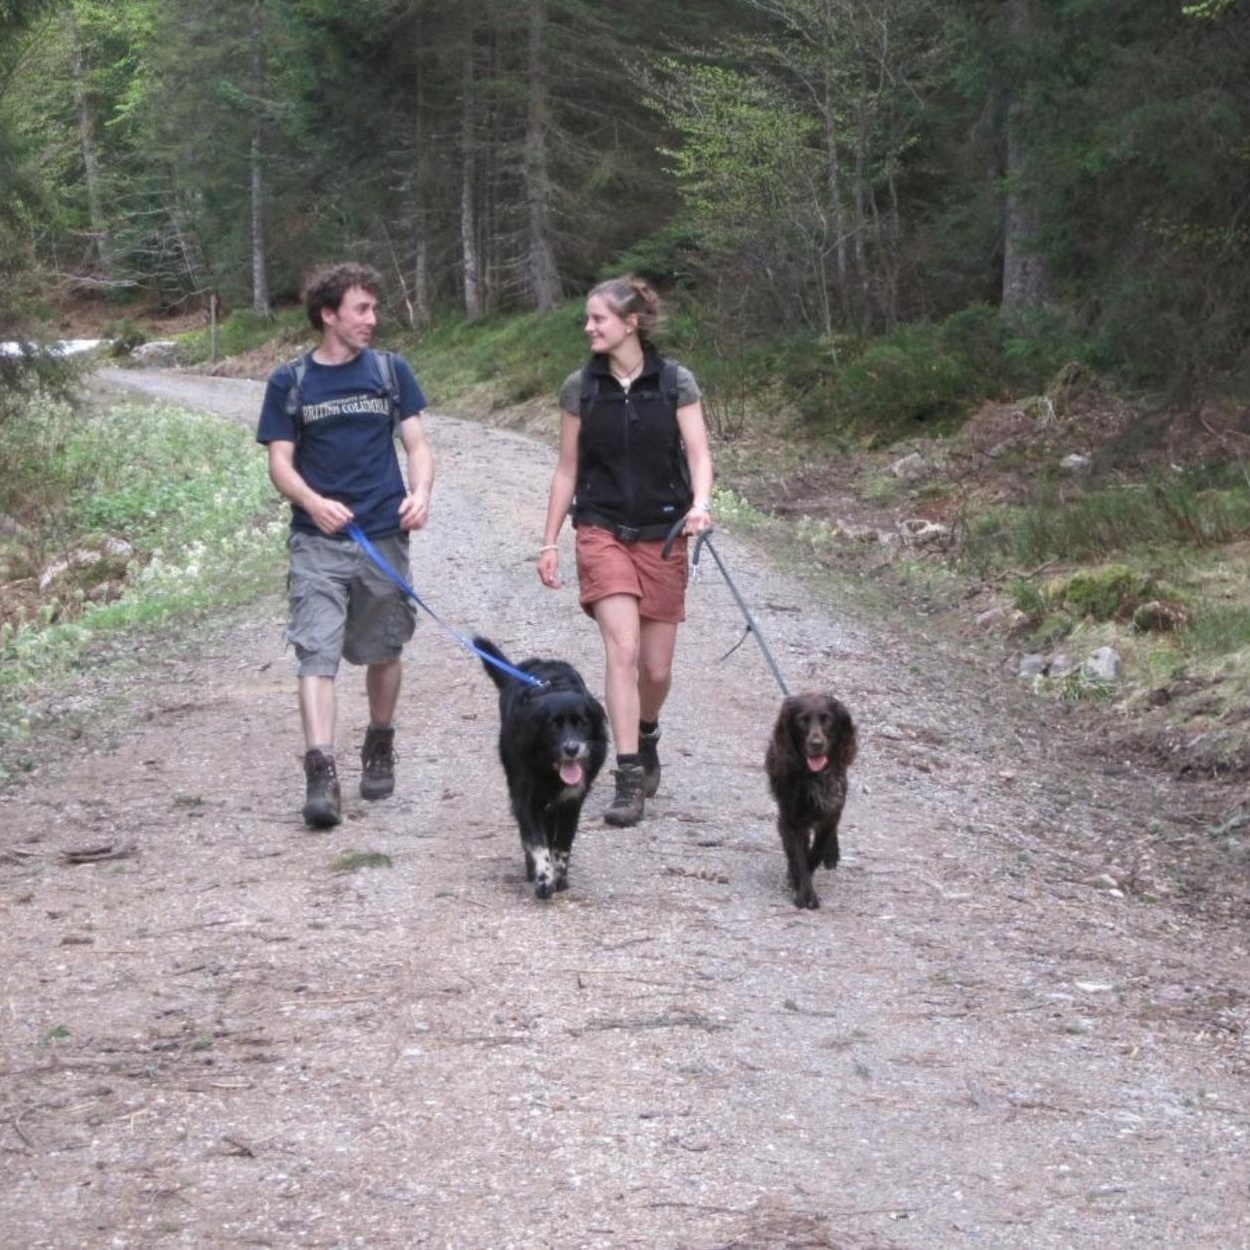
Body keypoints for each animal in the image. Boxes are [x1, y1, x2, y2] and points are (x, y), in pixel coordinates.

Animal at [470, 635, 607, 900]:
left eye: (582, 723)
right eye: (553, 725)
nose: (572, 748)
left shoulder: (571, 802)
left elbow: (562, 844)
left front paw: (559, 876)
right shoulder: (526, 800)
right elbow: (537, 842)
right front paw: (544, 878)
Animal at [760, 695, 860, 910]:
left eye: (827, 719)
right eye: (801, 721)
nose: (816, 743)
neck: (813, 775)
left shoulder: (831, 807)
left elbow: (815, 853)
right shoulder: (790, 820)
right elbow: (799, 856)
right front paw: (804, 893)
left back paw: (832, 854)